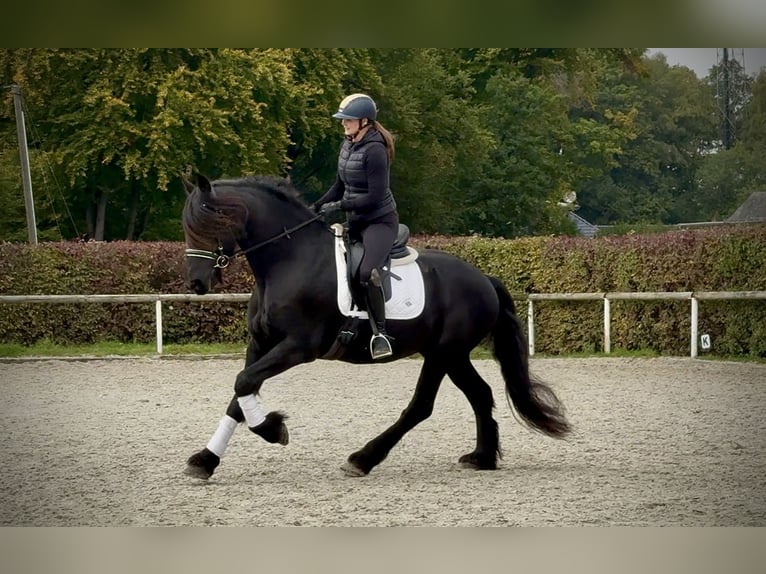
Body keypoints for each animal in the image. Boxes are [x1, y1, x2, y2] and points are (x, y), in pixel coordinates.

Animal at [181, 173, 570, 479]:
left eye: (210, 222)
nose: (196, 283)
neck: (288, 261)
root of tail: (484, 279)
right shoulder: (261, 344)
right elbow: (240, 392)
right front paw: (205, 460)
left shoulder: (298, 346)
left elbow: (244, 383)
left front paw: (273, 429)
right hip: (454, 355)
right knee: (480, 394)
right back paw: (482, 458)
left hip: (443, 353)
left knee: (421, 406)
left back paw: (362, 459)